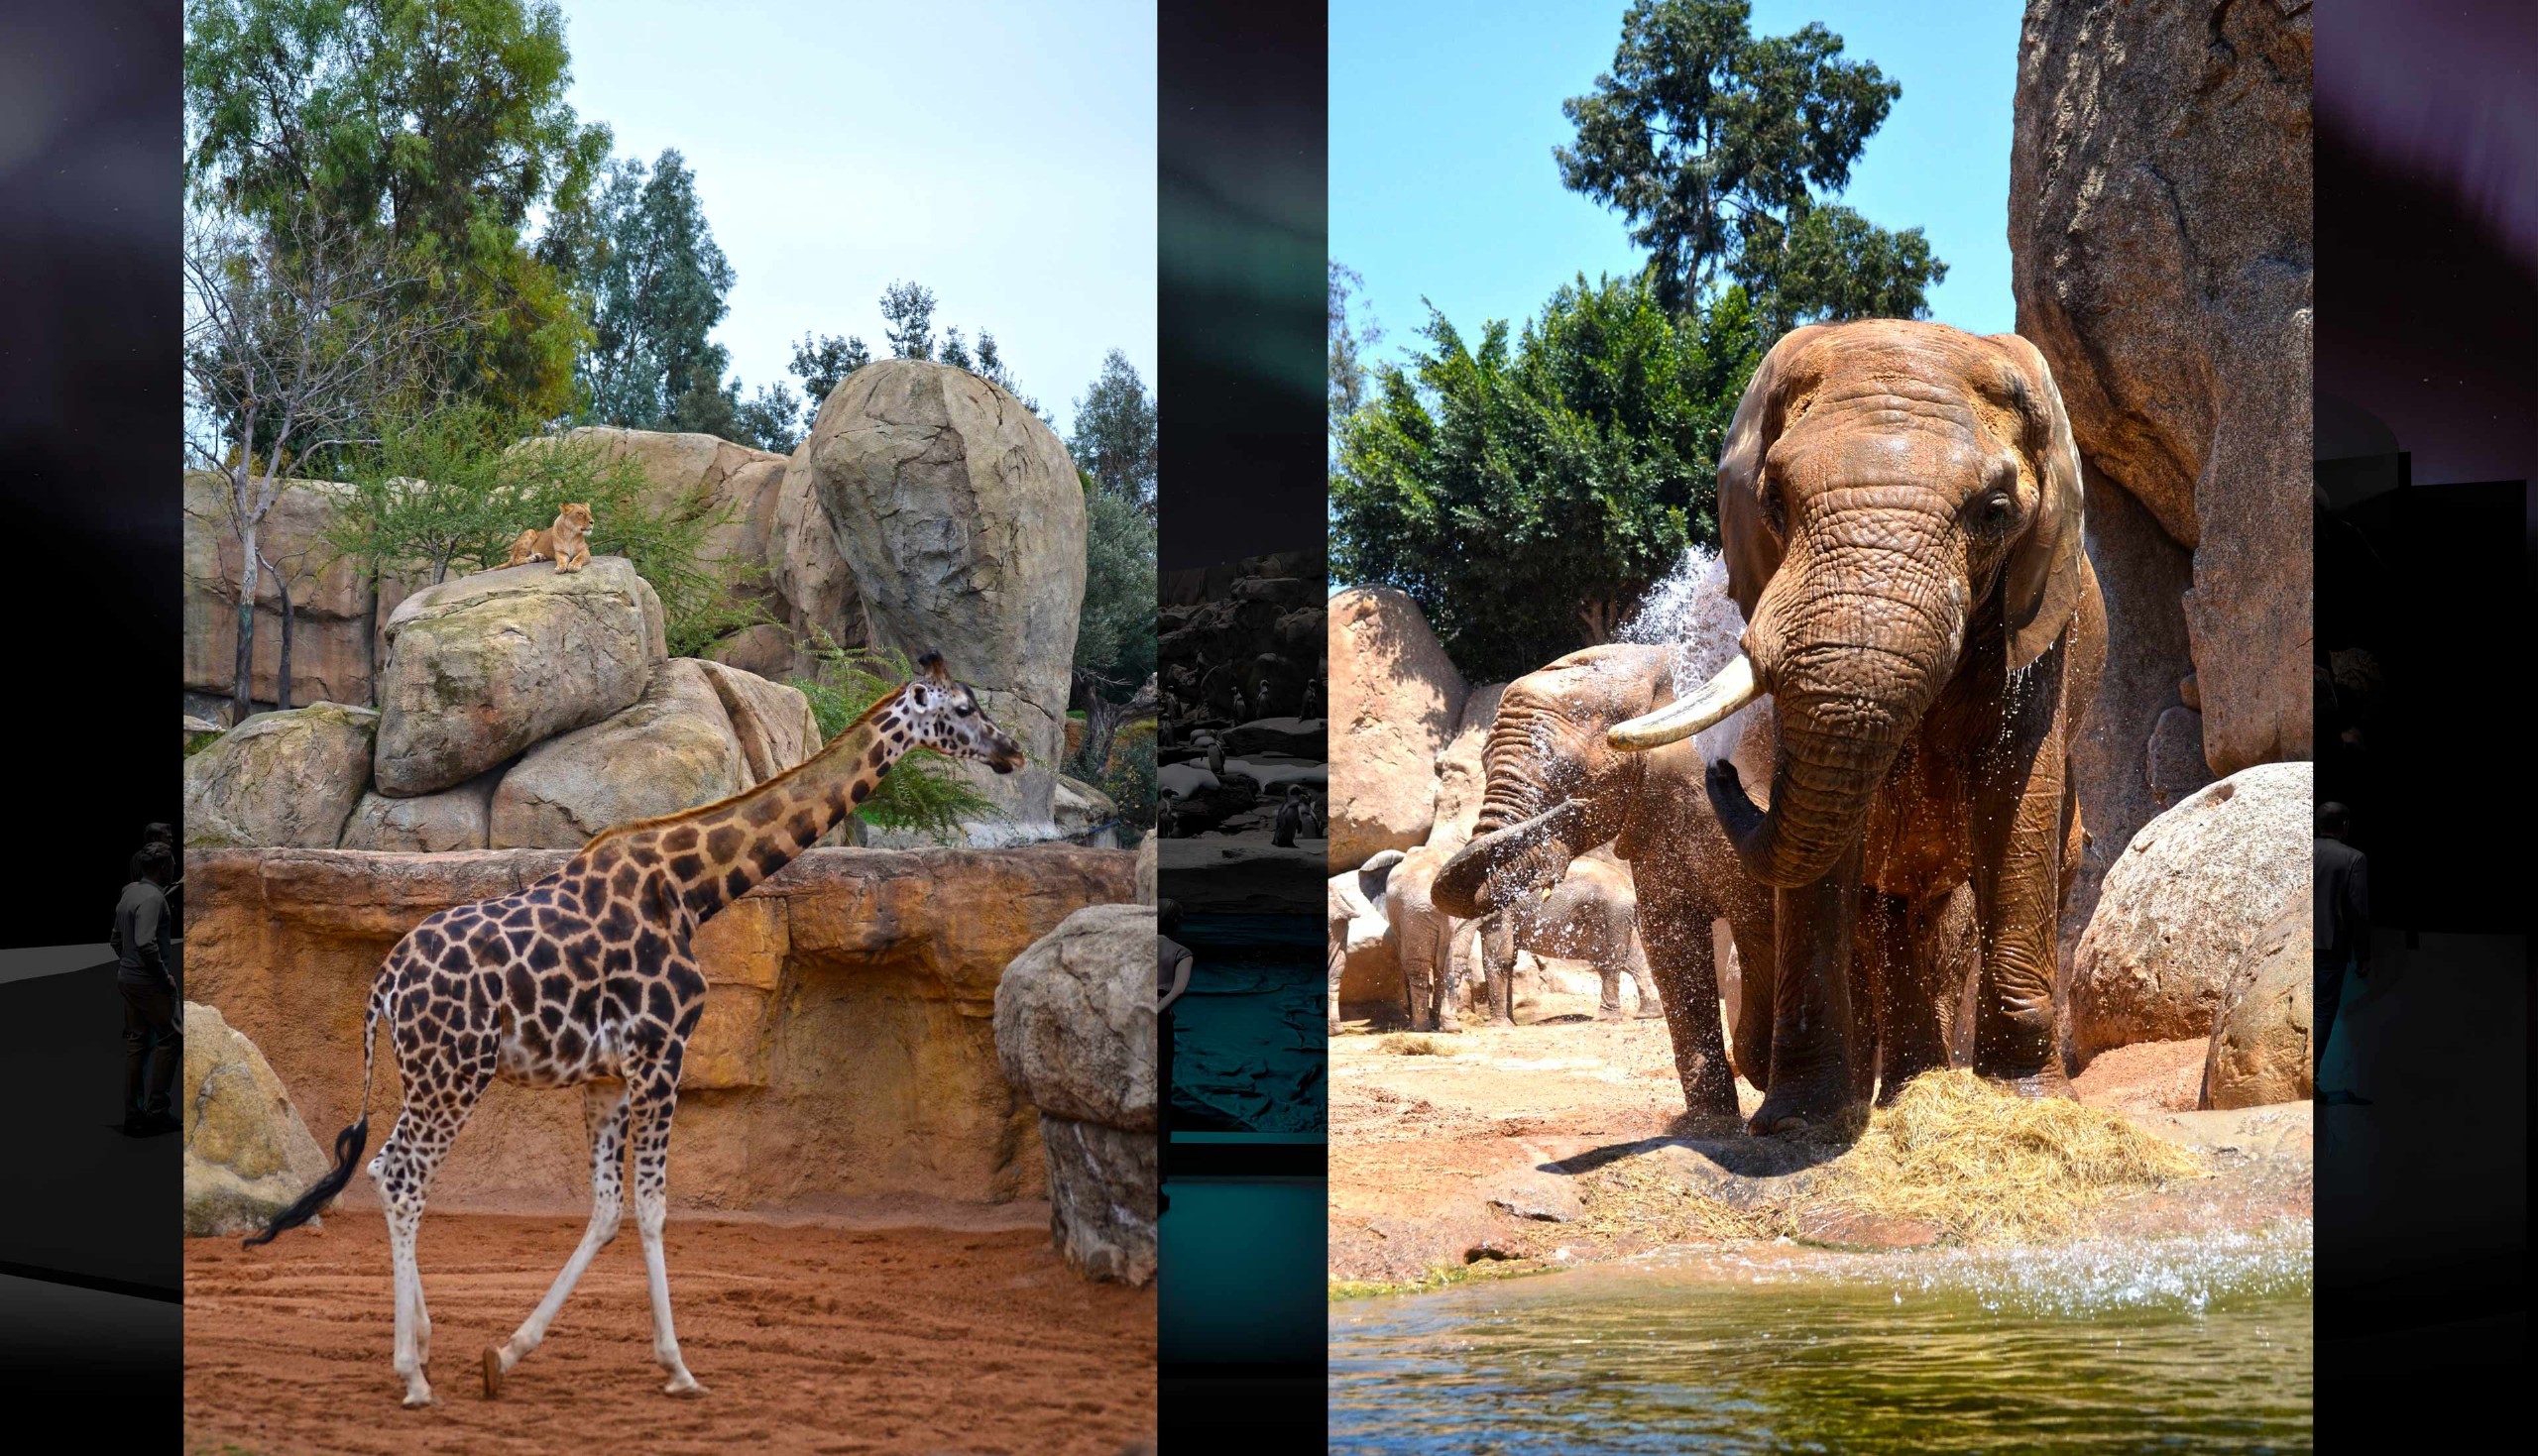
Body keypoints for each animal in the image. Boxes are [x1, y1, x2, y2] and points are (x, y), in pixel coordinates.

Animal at [245, 654, 1020, 1409]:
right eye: (962, 708)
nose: (1010, 750)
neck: (692, 886)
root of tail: (383, 986)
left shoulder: (607, 1077)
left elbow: (606, 1210)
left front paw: (507, 1353)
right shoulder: (662, 1054)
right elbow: (651, 1207)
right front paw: (678, 1367)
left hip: (430, 1073)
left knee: (384, 1167)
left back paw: (427, 1342)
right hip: (454, 1071)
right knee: (405, 1174)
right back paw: (412, 1372)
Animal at [1583, 322, 2101, 1141]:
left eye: (1994, 512)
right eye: (1775, 501)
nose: (1720, 771)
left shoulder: (2042, 612)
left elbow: (2016, 799)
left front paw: (2031, 1108)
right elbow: (1829, 848)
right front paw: (1799, 1124)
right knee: (1884, 913)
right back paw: (1895, 1093)